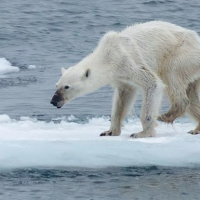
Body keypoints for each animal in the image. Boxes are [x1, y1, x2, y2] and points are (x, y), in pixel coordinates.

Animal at [50, 21, 200, 138]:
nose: (53, 101)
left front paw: (142, 133)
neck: (107, 55)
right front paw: (109, 131)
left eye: (67, 86)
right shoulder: (120, 76)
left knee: (171, 76)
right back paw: (195, 129)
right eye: (56, 85)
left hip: (181, 54)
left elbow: (152, 83)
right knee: (192, 96)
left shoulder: (127, 61)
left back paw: (166, 115)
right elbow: (123, 98)